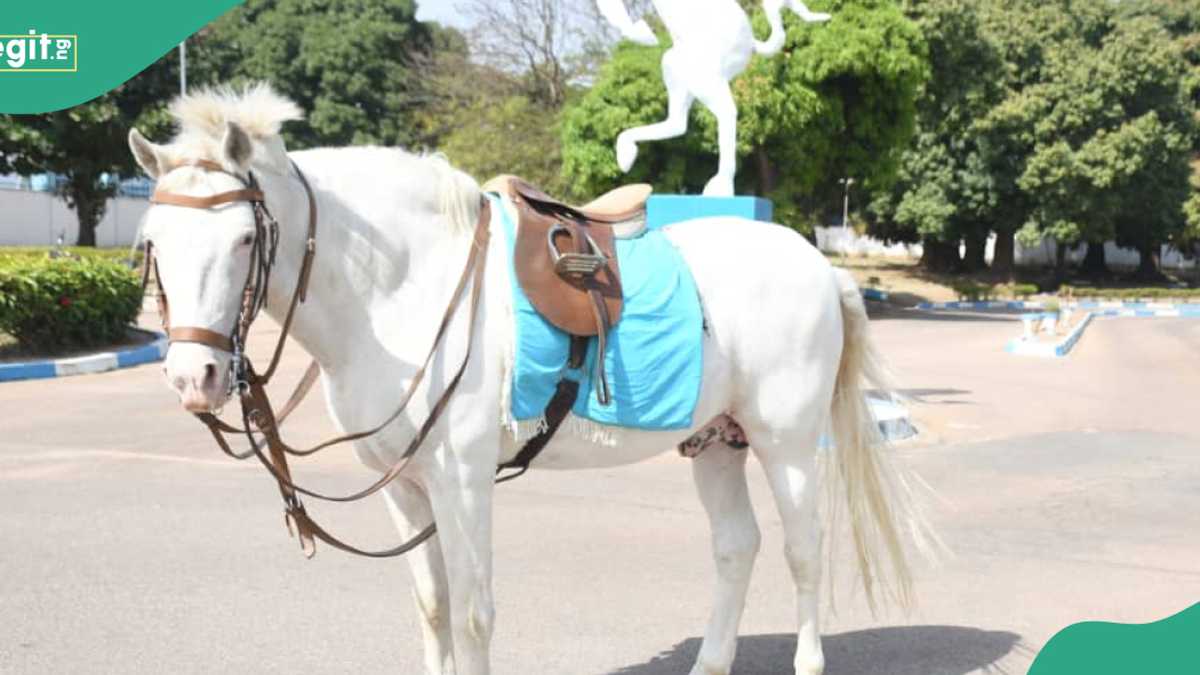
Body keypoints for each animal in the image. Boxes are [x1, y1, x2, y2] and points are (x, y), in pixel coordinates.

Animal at [129, 82, 916, 672]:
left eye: (243, 238)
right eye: (153, 241)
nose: (195, 375)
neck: (403, 288)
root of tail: (817, 265)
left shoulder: (462, 481)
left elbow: (474, 614)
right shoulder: (404, 488)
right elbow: (435, 607)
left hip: (786, 444)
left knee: (803, 551)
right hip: (718, 442)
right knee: (736, 545)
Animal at [595, 1, 830, 196]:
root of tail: (751, 44)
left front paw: (643, 34)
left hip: (705, 76)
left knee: (725, 113)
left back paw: (720, 185)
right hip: (678, 67)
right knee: (678, 123)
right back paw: (626, 157)